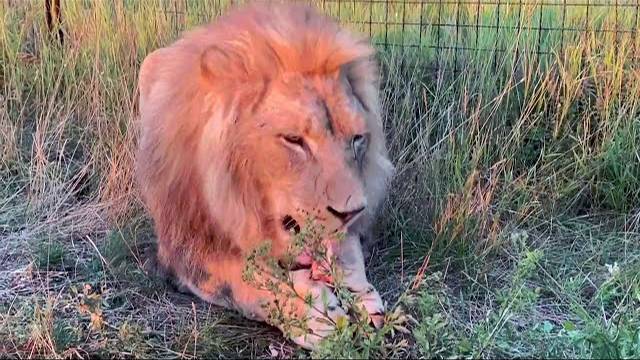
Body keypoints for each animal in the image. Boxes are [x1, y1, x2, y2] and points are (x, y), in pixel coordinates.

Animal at [136, 0, 396, 348]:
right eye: (294, 140)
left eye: (357, 138)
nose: (353, 211)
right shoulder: (185, 251)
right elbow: (250, 285)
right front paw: (317, 318)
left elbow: (347, 255)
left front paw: (364, 300)